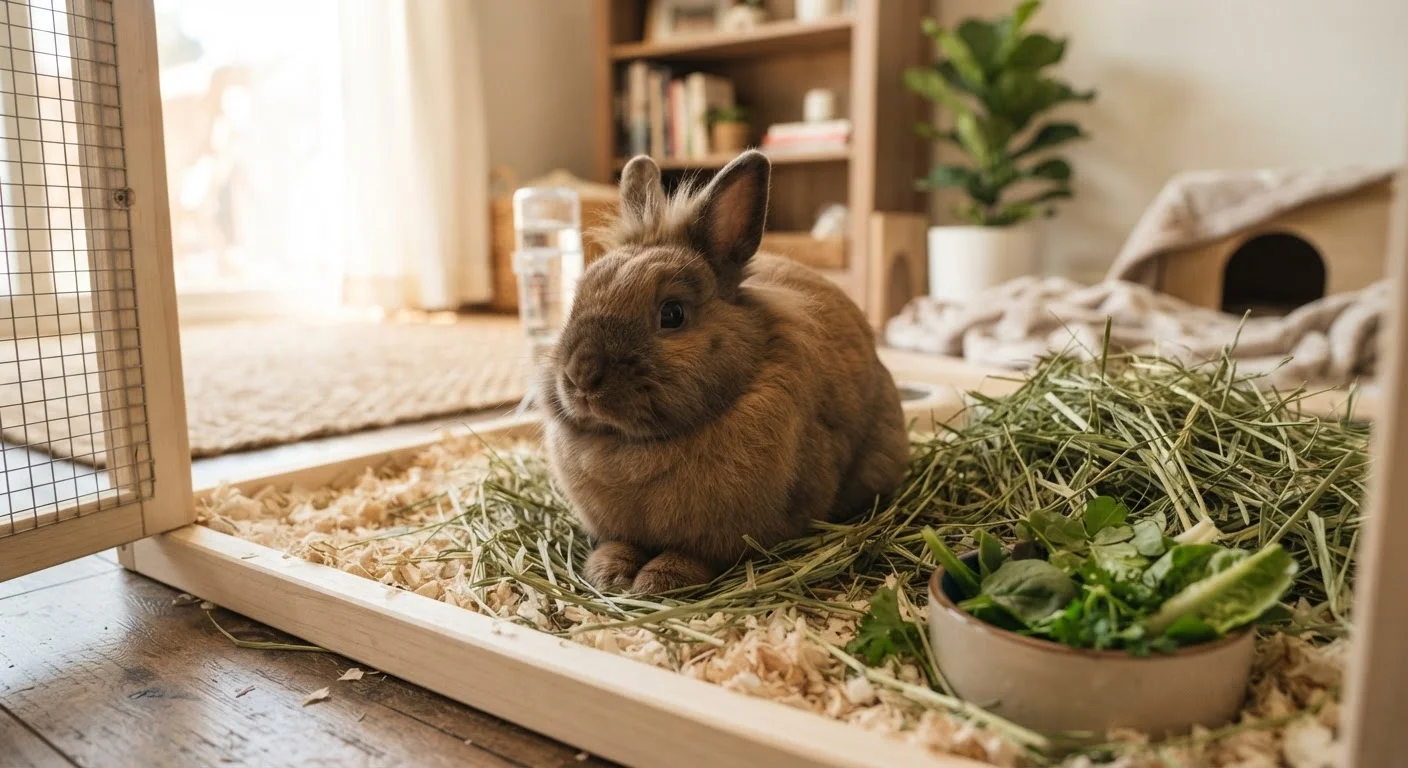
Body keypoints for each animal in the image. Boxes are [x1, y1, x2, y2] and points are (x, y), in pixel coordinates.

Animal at [538, 150, 909, 595]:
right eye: (577, 301)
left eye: (672, 314)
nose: (581, 376)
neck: (639, 445)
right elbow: (618, 544)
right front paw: (608, 574)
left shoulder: (725, 539)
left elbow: (693, 557)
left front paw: (657, 582)